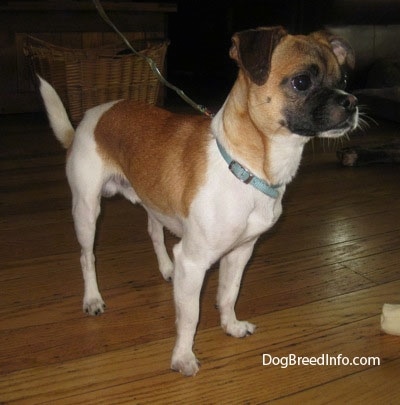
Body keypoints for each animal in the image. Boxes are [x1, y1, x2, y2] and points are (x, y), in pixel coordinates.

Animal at [39, 26, 358, 376]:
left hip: (153, 203)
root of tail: (86, 120)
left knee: (154, 234)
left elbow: (229, 294)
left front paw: (231, 326)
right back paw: (93, 298)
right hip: (87, 211)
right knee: (87, 257)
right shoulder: (194, 262)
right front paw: (183, 357)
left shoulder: (241, 252)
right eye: (301, 81)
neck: (245, 168)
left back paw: (166, 268)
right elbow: (190, 317)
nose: (352, 103)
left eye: (344, 79)